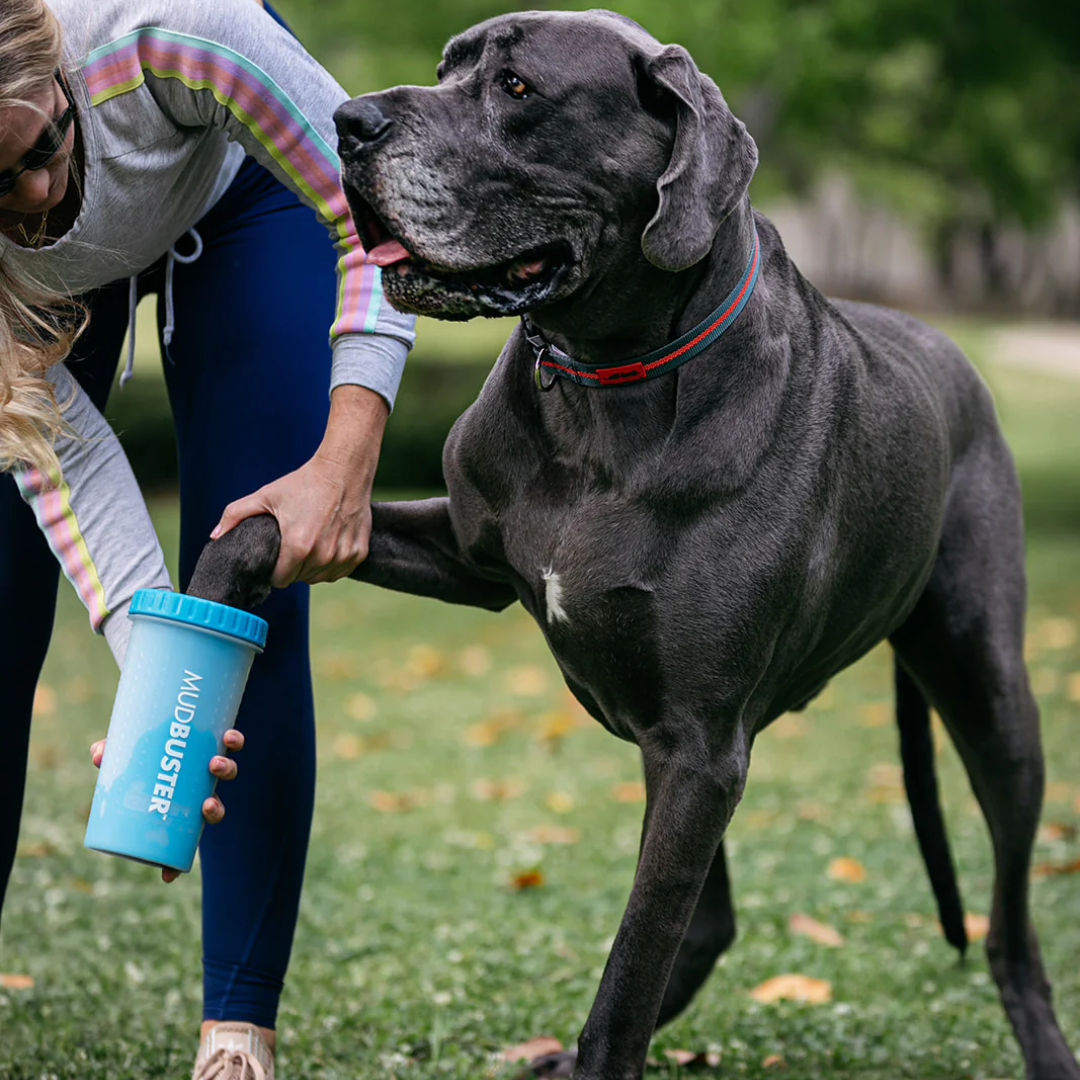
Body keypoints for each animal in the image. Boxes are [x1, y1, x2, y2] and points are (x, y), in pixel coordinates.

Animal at [192, 10, 1080, 1080]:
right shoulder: (474, 559)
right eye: (447, 67)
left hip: (987, 696)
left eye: (517, 88)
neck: (604, 385)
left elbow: (629, 972)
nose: (350, 122)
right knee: (712, 921)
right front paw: (197, 630)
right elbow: (266, 525)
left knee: (1008, 925)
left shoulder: (698, 746)